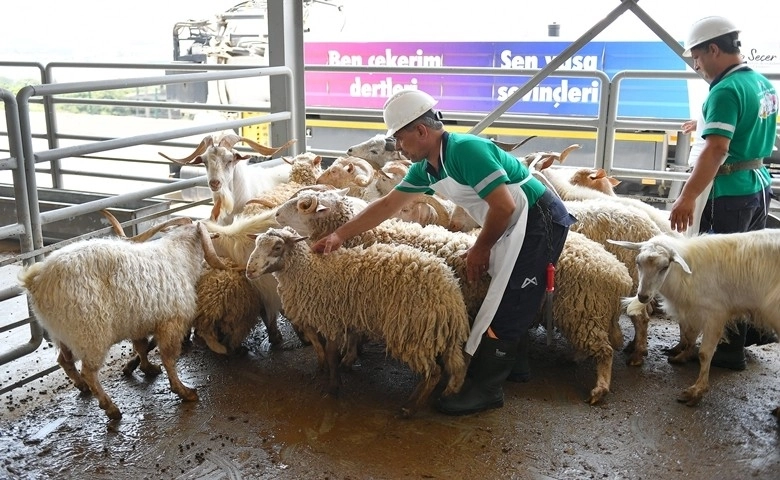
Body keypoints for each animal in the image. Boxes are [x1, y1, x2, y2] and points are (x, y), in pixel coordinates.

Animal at [17, 219, 225, 418]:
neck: (179, 256)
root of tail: (37, 281)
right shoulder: (171, 323)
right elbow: (168, 359)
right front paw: (184, 391)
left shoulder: (138, 323)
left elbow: (141, 347)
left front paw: (147, 368)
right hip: (89, 334)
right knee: (89, 371)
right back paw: (110, 408)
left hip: (62, 335)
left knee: (64, 361)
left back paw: (82, 386)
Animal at [248, 225, 470, 416]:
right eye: (256, 244)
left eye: (277, 247)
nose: (249, 270)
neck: (310, 272)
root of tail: (451, 294)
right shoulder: (322, 318)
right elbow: (318, 346)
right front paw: (323, 368)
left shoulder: (331, 320)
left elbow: (331, 353)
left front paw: (334, 387)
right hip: (437, 333)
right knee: (457, 366)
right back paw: (444, 394)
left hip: (412, 332)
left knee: (434, 372)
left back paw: (410, 408)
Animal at [608, 230, 780, 416]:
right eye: (638, 263)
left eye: (664, 267)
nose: (643, 296)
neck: (686, 274)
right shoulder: (695, 312)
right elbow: (689, 336)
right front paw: (682, 356)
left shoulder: (715, 314)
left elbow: (704, 354)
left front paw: (696, 391)